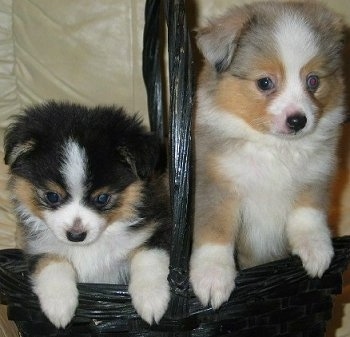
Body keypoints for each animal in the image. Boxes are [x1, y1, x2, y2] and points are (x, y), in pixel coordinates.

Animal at [4, 101, 171, 326]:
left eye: (102, 198)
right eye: (52, 196)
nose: (76, 236)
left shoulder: (157, 227)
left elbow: (148, 256)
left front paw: (151, 299)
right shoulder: (38, 247)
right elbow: (53, 263)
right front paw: (59, 305)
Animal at [189, 1, 344, 308]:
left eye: (313, 81)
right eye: (264, 83)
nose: (298, 120)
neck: (274, 148)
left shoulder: (318, 172)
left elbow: (309, 213)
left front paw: (317, 250)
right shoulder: (215, 183)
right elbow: (215, 231)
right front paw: (212, 278)